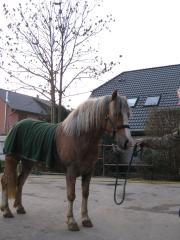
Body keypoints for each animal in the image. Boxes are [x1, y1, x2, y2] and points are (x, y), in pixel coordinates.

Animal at [0, 90, 134, 231]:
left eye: (128, 114)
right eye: (116, 113)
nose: (128, 142)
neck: (78, 137)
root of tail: (16, 125)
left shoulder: (88, 172)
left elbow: (85, 194)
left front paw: (86, 219)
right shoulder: (71, 171)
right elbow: (71, 195)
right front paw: (71, 222)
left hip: (28, 163)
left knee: (20, 182)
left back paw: (20, 208)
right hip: (12, 159)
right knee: (5, 181)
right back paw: (6, 211)